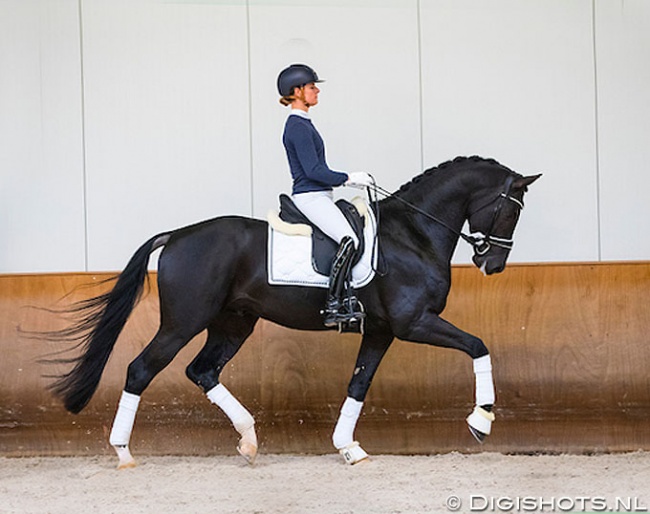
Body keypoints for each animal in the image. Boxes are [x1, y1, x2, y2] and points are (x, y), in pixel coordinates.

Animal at [48, 154, 540, 466]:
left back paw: (248, 441)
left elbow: (358, 384)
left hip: (234, 323)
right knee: (140, 370)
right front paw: (481, 421)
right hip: (184, 321)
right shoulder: (413, 322)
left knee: (202, 371)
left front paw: (348, 447)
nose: (493, 265)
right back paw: (124, 452)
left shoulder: (381, 330)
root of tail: (179, 235)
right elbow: (478, 346)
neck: (412, 234)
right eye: (512, 211)